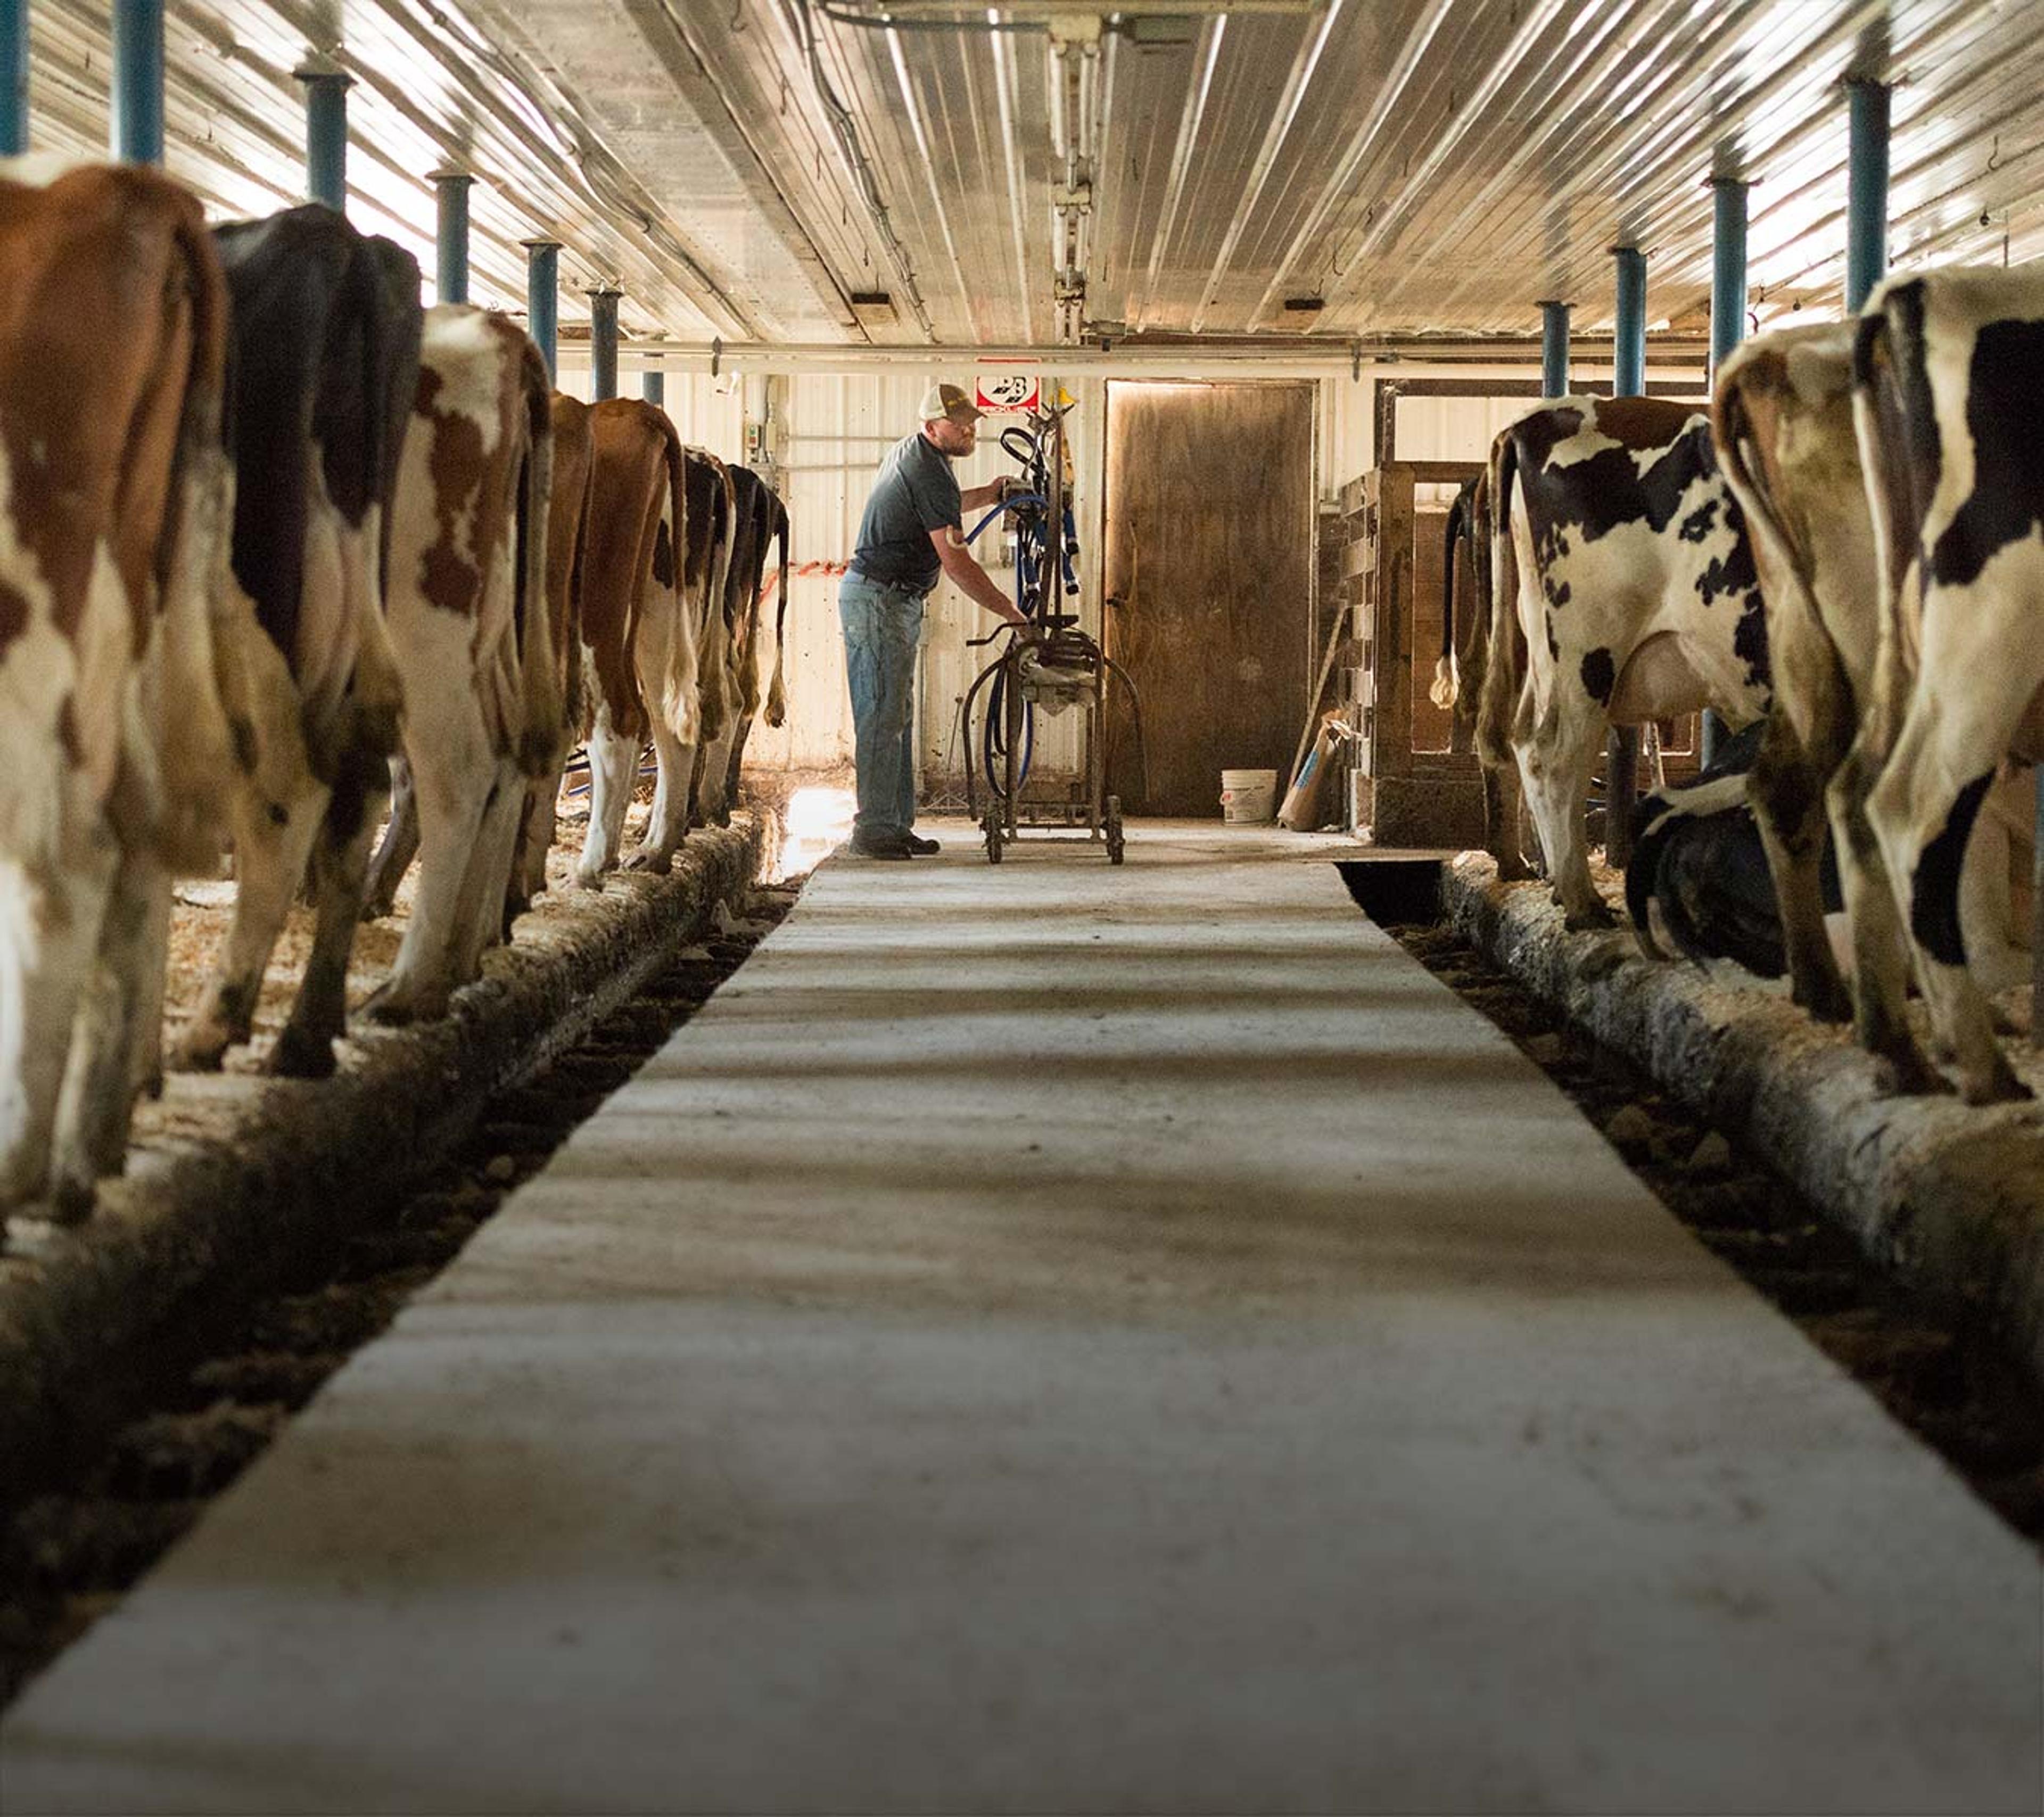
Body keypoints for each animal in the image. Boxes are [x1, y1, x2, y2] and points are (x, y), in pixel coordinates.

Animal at [1471, 394, 1774, 919]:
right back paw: (1582, 901)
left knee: (1525, 739)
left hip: (1543, 648)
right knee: (1554, 756)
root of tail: (1535, 418)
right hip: (1589, 647)